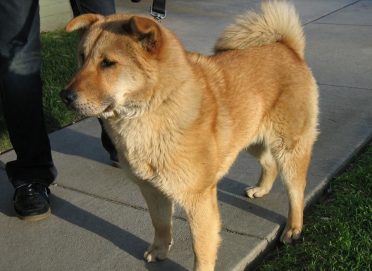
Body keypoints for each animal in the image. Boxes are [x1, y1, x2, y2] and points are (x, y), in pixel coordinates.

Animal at [62, 1, 318, 270]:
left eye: (108, 63)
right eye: (82, 57)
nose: (64, 95)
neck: (154, 109)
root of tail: (287, 48)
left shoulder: (198, 200)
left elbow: (201, 247)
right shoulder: (152, 191)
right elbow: (160, 224)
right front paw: (159, 250)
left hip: (289, 149)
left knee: (296, 190)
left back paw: (293, 228)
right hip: (249, 139)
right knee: (269, 164)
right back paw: (261, 189)